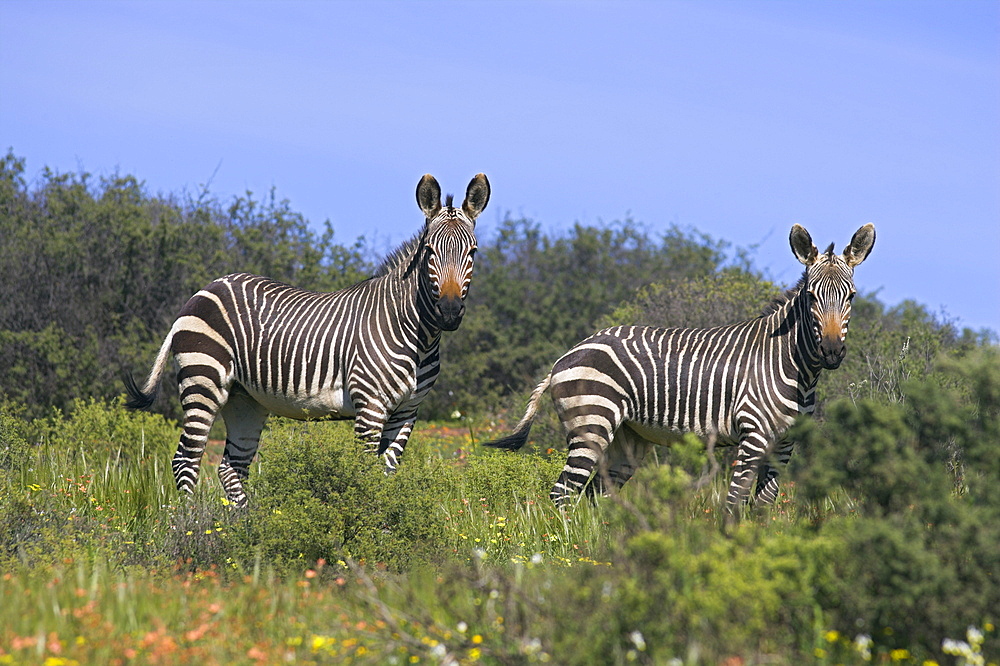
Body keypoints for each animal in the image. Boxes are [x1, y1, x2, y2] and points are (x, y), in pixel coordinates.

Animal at [125, 171, 492, 504]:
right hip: (204, 380)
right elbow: (365, 476)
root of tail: (203, 290)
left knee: (231, 468)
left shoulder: (407, 411)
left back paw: (244, 528)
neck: (418, 335)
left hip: (244, 400)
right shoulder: (370, 406)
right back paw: (191, 525)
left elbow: (386, 474)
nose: (449, 311)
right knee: (186, 460)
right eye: (429, 251)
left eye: (472, 253)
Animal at [484, 224, 876, 512]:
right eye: (811, 296)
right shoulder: (752, 437)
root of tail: (568, 354)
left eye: (851, 296)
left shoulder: (784, 443)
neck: (795, 368)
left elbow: (763, 506)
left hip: (627, 439)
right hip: (591, 423)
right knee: (563, 493)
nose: (831, 351)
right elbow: (734, 501)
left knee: (595, 495)